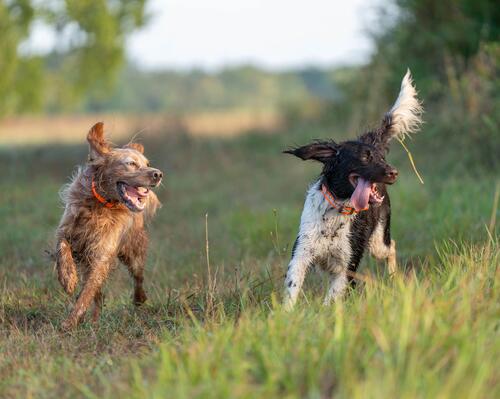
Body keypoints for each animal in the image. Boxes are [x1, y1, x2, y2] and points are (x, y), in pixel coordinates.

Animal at [56, 122, 162, 332]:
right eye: (131, 163)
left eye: (147, 164)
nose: (158, 174)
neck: (99, 205)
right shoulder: (67, 231)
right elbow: (62, 247)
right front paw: (68, 278)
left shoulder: (101, 255)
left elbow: (86, 293)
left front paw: (70, 322)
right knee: (99, 296)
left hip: (134, 251)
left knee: (138, 277)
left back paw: (139, 299)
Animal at [282, 71, 422, 310]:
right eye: (364, 158)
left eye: (382, 158)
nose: (394, 172)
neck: (336, 211)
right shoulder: (301, 254)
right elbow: (292, 287)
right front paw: (286, 315)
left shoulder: (347, 266)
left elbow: (332, 298)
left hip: (377, 241)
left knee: (391, 247)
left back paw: (393, 277)